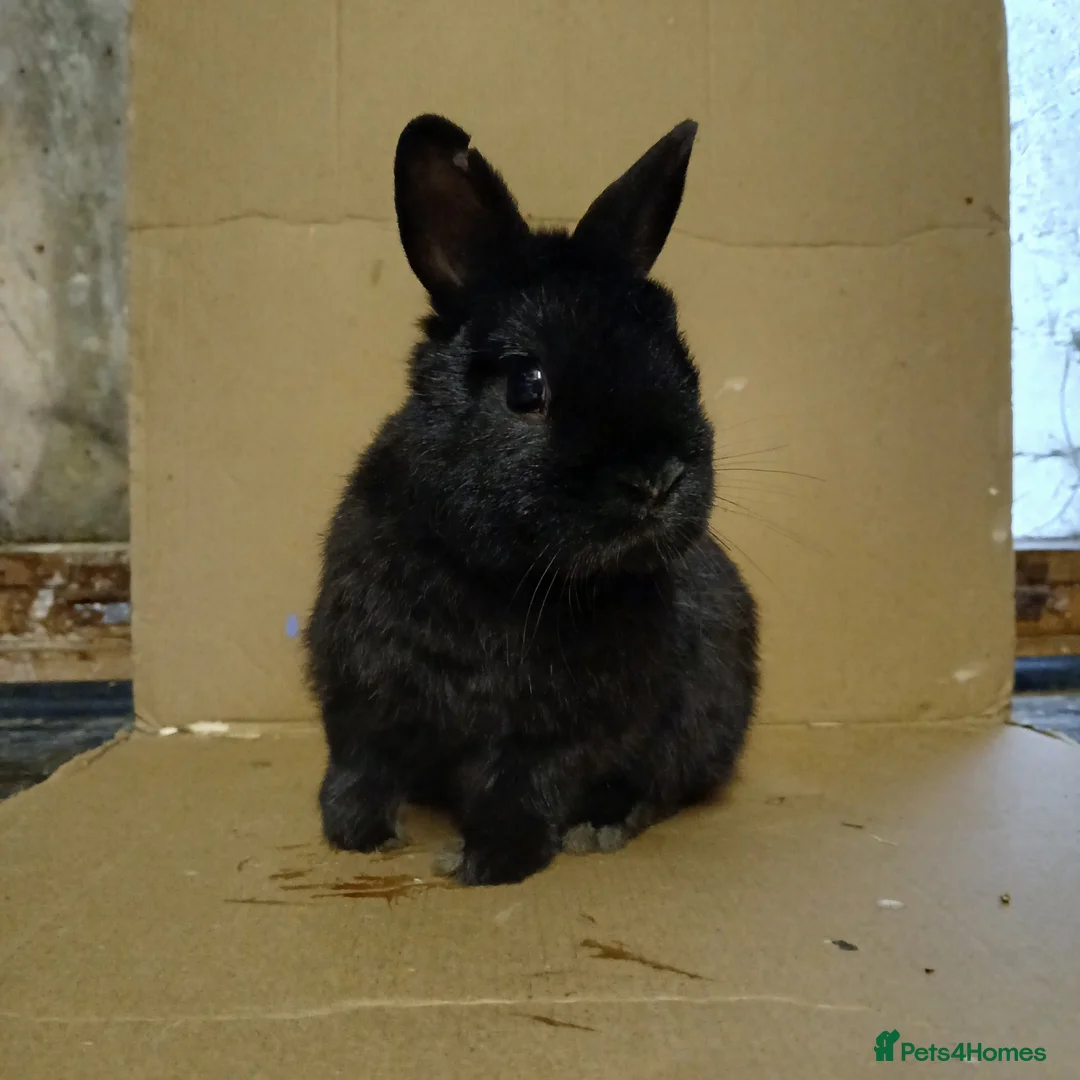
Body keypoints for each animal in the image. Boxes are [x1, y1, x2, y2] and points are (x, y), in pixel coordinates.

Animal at [304, 113, 758, 887]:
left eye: (682, 362)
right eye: (526, 387)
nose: (657, 479)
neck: (505, 577)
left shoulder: (566, 733)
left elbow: (527, 785)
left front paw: (487, 862)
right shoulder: (360, 692)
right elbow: (361, 764)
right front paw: (360, 834)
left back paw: (604, 827)